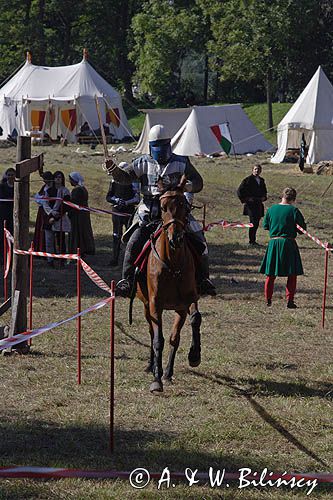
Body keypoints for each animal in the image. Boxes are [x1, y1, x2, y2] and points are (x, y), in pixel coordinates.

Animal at [135, 178, 200, 392]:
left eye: (185, 208)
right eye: (163, 208)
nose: (176, 239)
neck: (173, 264)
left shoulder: (186, 302)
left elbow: (188, 326)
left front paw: (193, 356)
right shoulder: (155, 304)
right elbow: (158, 339)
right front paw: (156, 378)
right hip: (146, 305)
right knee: (151, 332)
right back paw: (151, 366)